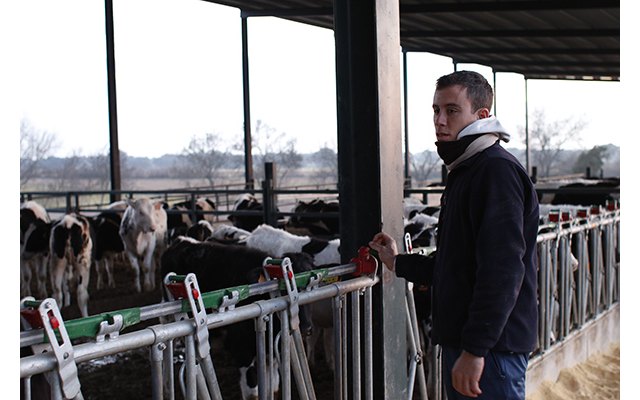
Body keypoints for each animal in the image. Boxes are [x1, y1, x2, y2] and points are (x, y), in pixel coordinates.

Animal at [160, 236, 316, 398]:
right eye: (283, 287)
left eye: (312, 284)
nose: (306, 328)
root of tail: (182, 241)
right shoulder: (242, 351)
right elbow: (252, 391)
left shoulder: (271, 354)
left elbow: (273, 387)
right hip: (170, 316)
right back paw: (166, 386)